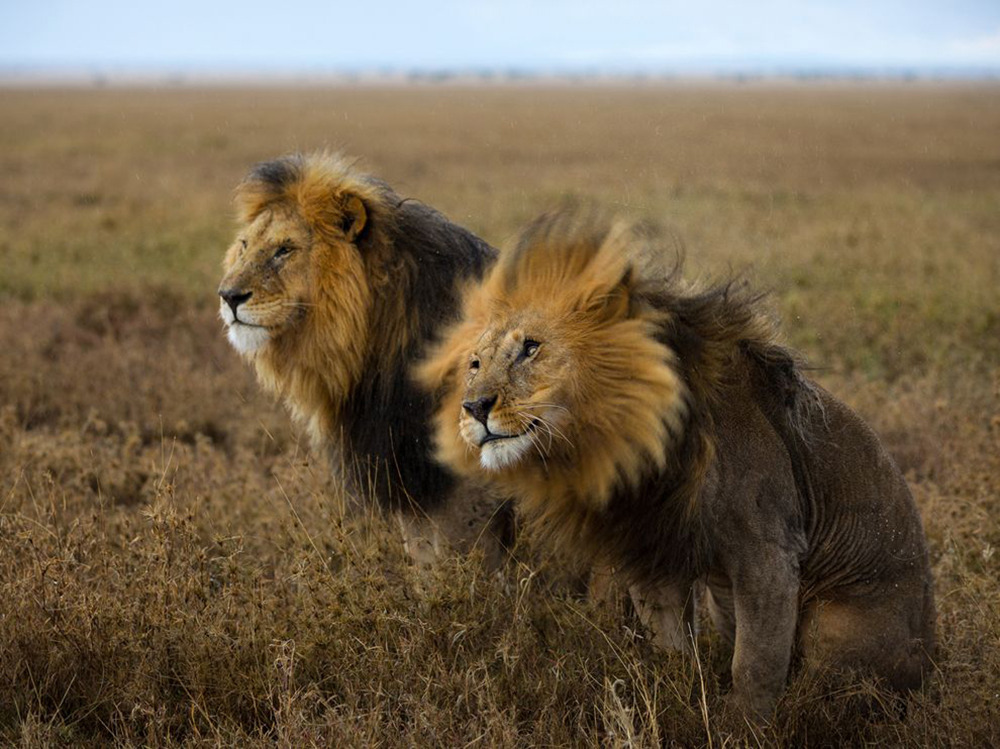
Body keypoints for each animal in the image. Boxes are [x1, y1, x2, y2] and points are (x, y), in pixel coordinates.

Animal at [220, 152, 516, 568]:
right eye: (244, 246)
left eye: (284, 250)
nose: (228, 296)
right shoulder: (407, 470)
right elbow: (426, 560)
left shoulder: (465, 475)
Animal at [422, 209, 936, 712]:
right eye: (474, 364)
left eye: (531, 348)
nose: (474, 407)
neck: (632, 441)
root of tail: (930, 662)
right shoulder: (654, 551)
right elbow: (671, 650)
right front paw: (681, 699)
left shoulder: (770, 551)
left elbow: (754, 666)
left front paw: (742, 726)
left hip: (834, 622)